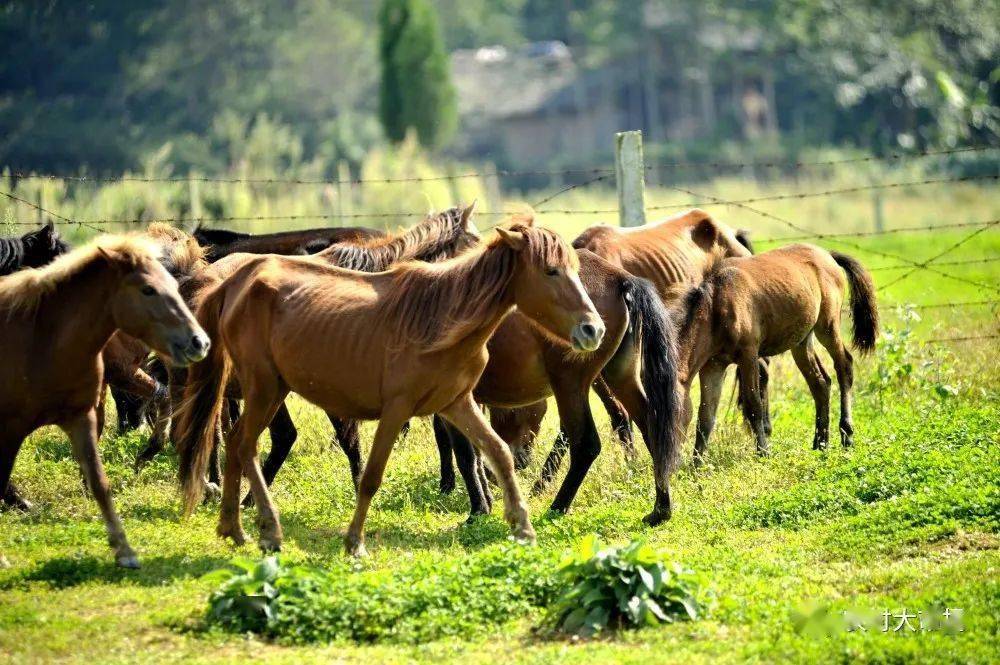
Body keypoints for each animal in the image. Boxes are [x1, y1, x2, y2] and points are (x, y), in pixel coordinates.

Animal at [175, 223, 604, 556]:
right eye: (550, 271)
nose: (592, 329)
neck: (440, 316)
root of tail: (232, 284)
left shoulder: (457, 403)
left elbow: (497, 454)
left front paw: (522, 527)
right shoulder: (396, 410)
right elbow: (371, 477)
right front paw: (354, 542)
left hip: (271, 391)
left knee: (236, 443)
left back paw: (234, 528)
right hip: (264, 389)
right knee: (244, 444)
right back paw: (264, 529)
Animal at [672, 243, 876, 456]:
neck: (718, 305)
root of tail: (828, 254)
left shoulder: (748, 355)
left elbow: (754, 404)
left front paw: (763, 452)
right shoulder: (713, 365)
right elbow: (706, 415)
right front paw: (697, 462)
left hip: (827, 327)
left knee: (844, 365)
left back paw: (846, 434)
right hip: (801, 342)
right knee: (821, 383)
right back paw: (820, 443)